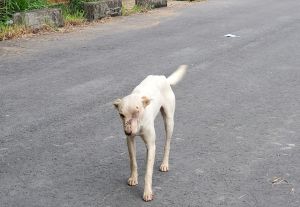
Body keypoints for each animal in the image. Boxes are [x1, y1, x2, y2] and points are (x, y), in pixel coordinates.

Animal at [113, 64, 186, 201]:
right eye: (121, 115)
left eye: (137, 112)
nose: (128, 132)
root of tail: (163, 78)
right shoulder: (130, 141)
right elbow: (133, 161)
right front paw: (133, 178)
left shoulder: (151, 146)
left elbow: (148, 173)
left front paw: (147, 192)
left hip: (169, 122)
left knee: (167, 144)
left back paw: (164, 164)